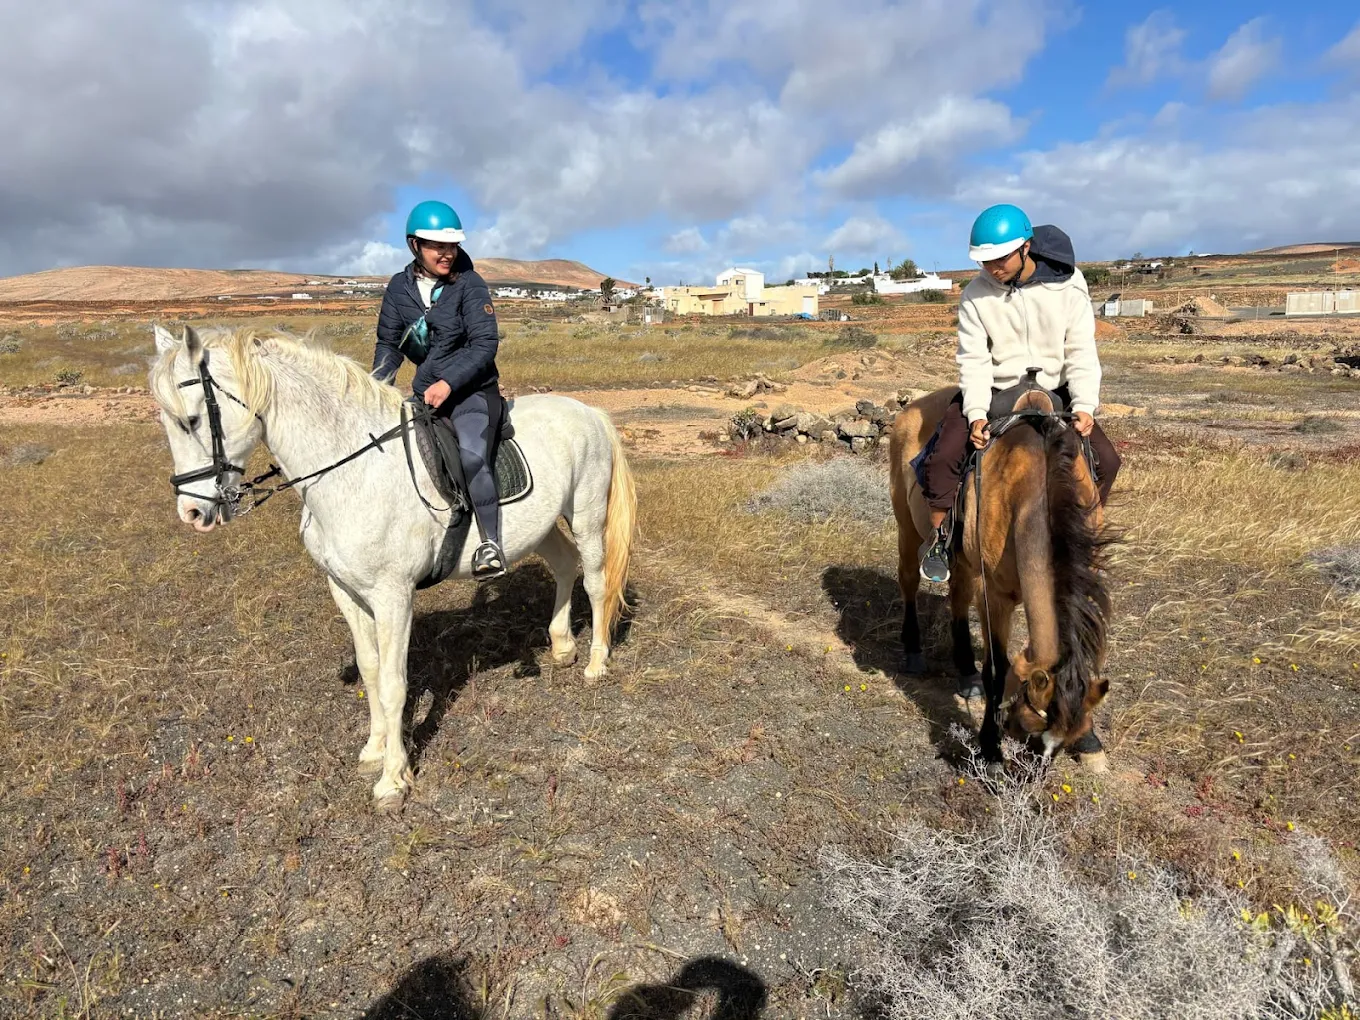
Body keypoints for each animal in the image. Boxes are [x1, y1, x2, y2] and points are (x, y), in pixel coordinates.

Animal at [149, 324, 636, 810]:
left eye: (192, 421)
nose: (191, 513)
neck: (352, 471)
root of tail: (590, 412)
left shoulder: (393, 596)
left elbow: (394, 683)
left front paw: (393, 779)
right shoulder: (345, 590)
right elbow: (369, 670)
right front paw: (374, 750)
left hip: (586, 514)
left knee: (595, 582)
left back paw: (596, 663)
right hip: (541, 526)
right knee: (564, 565)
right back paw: (562, 647)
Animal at [888, 385, 1114, 772]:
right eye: (1031, 723)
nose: (1033, 772)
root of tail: (910, 409)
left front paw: (1090, 741)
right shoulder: (995, 595)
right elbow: (997, 668)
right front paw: (990, 750)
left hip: (963, 561)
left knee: (957, 598)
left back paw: (965, 673)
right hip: (908, 528)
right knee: (909, 583)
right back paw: (914, 652)